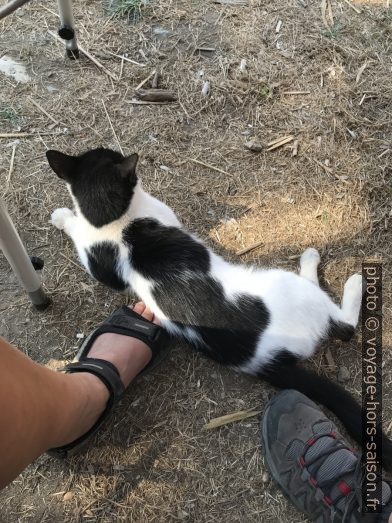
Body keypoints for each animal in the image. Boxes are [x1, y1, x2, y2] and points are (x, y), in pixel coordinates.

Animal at [47, 146, 392, 466]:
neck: (113, 221)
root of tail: (264, 359)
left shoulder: (100, 265)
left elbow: (85, 238)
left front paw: (64, 217)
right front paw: (68, 219)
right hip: (293, 289)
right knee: (343, 325)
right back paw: (341, 275)